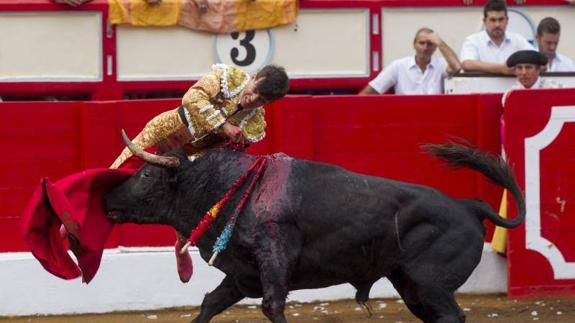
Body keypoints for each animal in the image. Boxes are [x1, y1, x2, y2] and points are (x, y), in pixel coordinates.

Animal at [103, 141, 528, 323]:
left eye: (145, 174)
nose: (107, 199)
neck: (230, 187)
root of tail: (468, 205)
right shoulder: (242, 275)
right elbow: (210, 303)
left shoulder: (274, 261)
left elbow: (272, 307)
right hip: (411, 286)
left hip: (431, 283)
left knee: (451, 316)